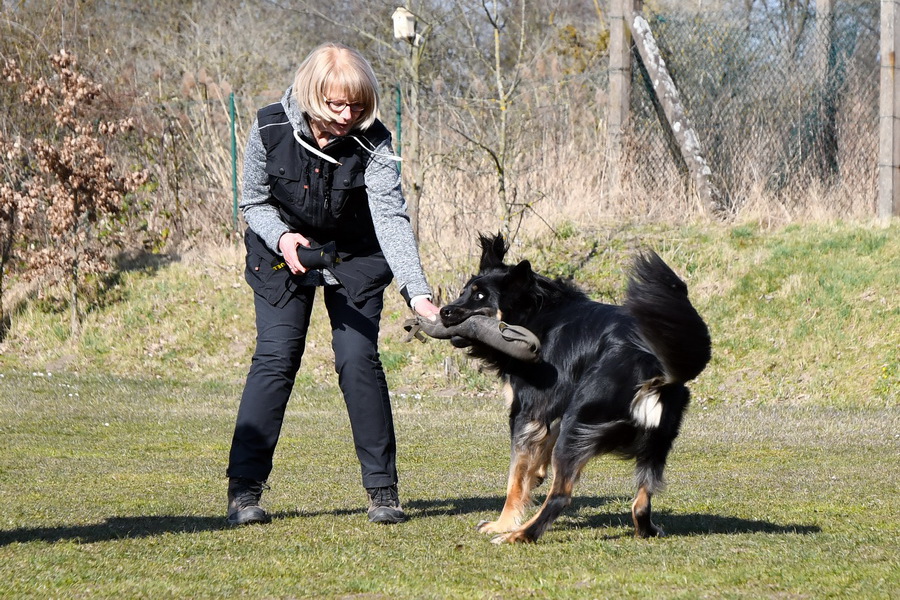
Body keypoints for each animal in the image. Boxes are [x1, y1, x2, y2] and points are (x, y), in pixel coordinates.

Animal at [440, 234, 712, 544]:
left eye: (480, 296)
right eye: (464, 291)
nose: (443, 311)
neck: (533, 314)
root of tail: (652, 366)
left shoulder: (525, 412)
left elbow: (514, 479)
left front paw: (503, 523)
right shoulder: (552, 406)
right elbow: (537, 451)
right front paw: (537, 473)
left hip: (578, 424)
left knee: (560, 496)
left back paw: (519, 535)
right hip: (655, 442)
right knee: (641, 503)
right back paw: (647, 530)